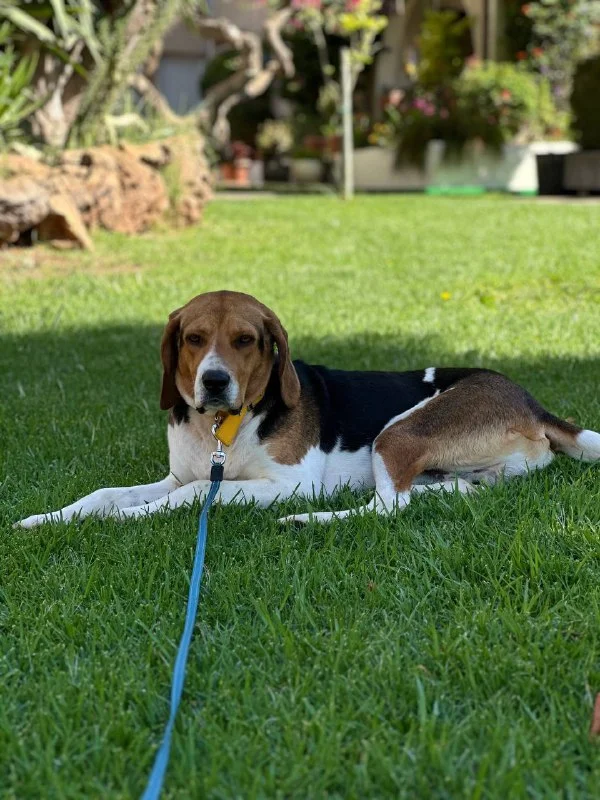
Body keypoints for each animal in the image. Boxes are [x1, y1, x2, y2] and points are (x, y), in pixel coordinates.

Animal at [17, 290, 600, 528]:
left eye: (246, 340)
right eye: (193, 338)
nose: (214, 381)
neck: (222, 425)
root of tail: (532, 403)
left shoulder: (281, 483)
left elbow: (187, 497)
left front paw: (127, 518)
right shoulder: (177, 474)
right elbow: (104, 494)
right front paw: (50, 518)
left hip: (398, 432)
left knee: (390, 508)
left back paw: (306, 521)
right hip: (454, 469)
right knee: (434, 496)